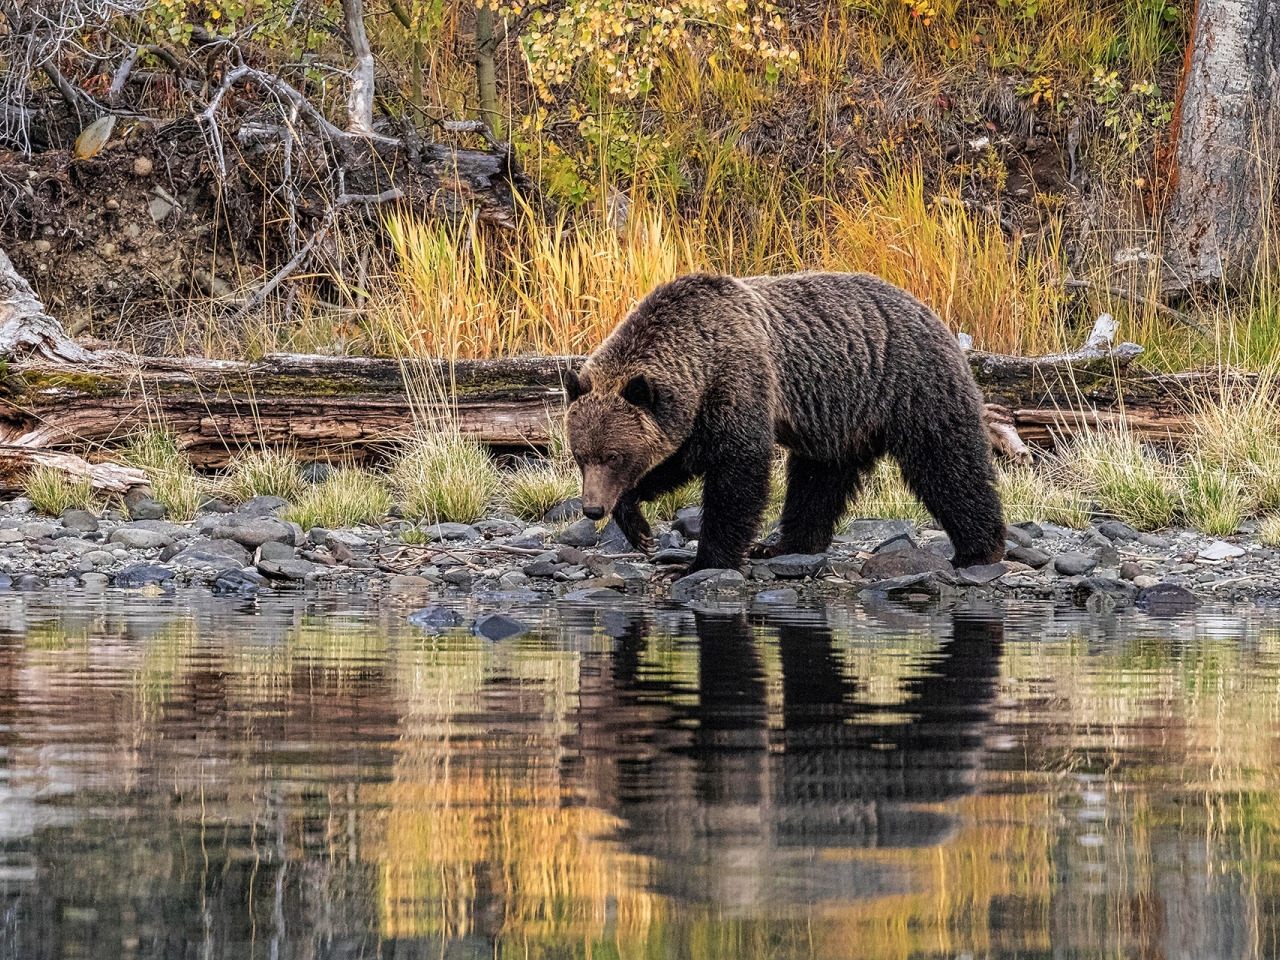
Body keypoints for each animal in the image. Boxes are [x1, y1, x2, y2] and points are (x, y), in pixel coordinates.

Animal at [565, 271, 1003, 570]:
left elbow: (737, 475)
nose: (591, 509)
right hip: (839, 420)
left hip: (913, 386)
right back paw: (786, 545)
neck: (700, 359)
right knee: (817, 482)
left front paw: (702, 561)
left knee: (948, 464)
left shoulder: (739, 383)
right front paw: (638, 528)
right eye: (581, 456)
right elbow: (674, 464)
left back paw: (979, 550)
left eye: (613, 455)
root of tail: (931, 312)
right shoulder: (691, 417)